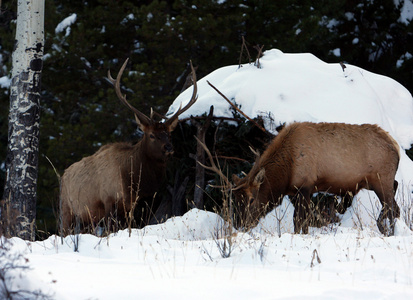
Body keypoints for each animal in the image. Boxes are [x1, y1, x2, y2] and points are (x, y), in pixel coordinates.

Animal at [59, 59, 198, 236]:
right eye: (151, 135)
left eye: (169, 134)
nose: (168, 147)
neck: (132, 180)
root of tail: (63, 175)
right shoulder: (109, 201)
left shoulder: (131, 206)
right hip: (67, 209)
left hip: (86, 218)